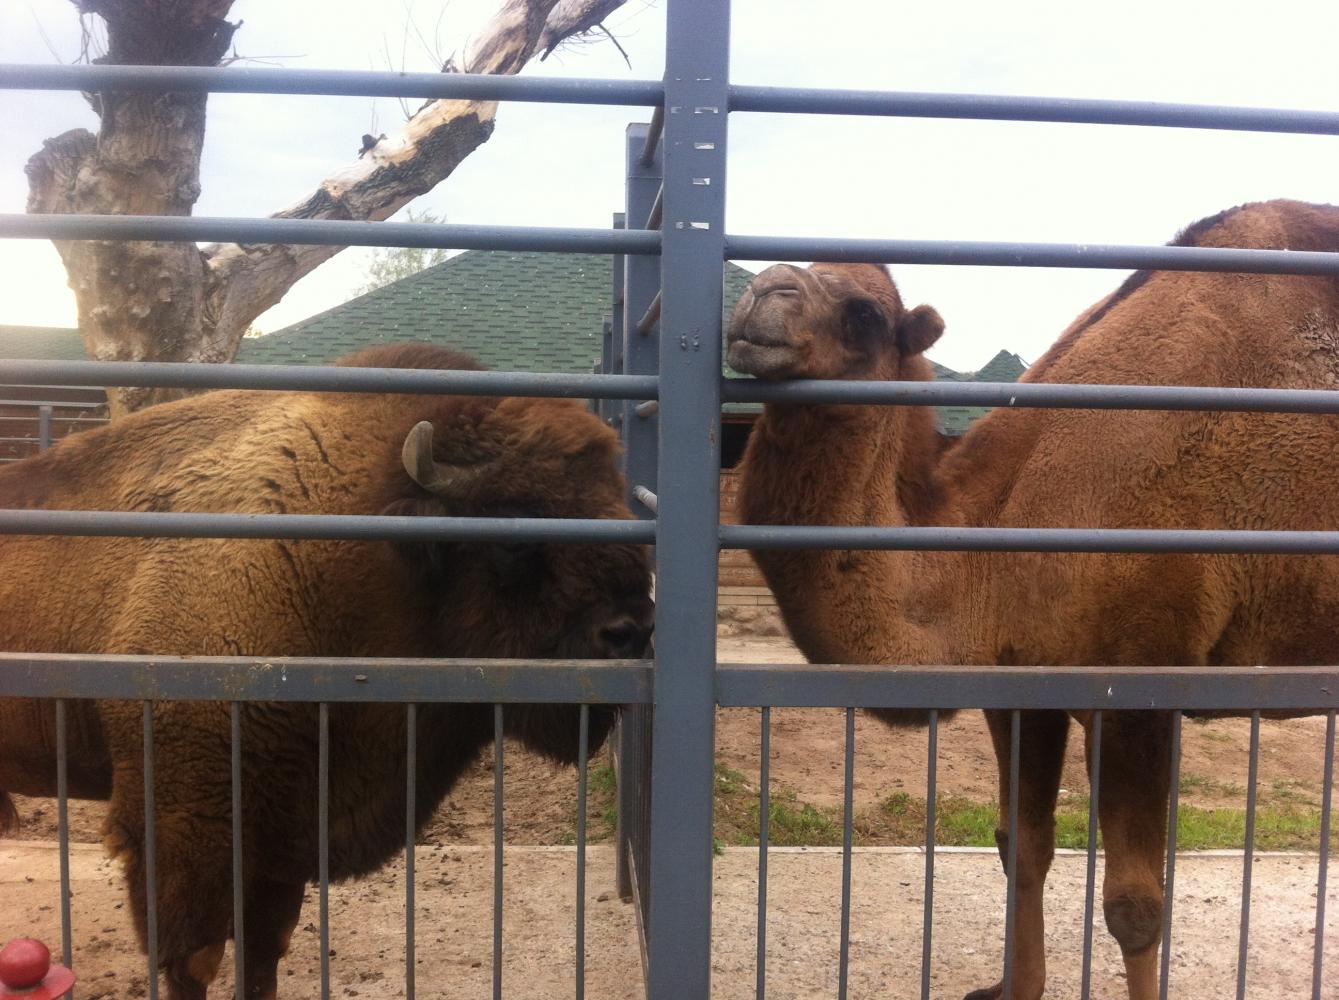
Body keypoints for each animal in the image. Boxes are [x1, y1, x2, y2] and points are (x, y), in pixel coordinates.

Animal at [0, 345, 653, 1000]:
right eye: (513, 531)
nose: (632, 631)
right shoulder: (181, 829)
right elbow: (194, 959)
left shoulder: (281, 834)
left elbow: (262, 952)